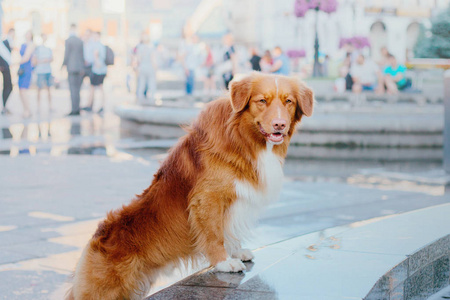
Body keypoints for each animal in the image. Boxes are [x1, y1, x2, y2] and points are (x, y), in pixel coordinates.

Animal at [67, 72, 312, 300]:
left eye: (288, 101)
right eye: (262, 100)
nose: (279, 124)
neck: (242, 138)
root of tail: (95, 238)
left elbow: (228, 228)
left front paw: (236, 251)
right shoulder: (208, 198)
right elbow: (215, 233)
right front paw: (224, 262)